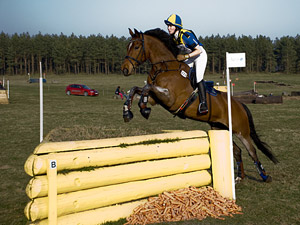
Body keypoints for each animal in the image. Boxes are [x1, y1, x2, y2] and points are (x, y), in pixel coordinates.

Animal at [120, 28, 278, 183]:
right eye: (127, 46)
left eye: (136, 47)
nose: (125, 69)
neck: (164, 67)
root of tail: (240, 104)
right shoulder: (155, 98)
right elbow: (137, 89)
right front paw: (128, 111)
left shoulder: (170, 99)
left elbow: (146, 88)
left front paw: (143, 109)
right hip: (219, 128)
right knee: (237, 150)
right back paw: (239, 177)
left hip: (241, 131)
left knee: (252, 151)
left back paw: (265, 176)